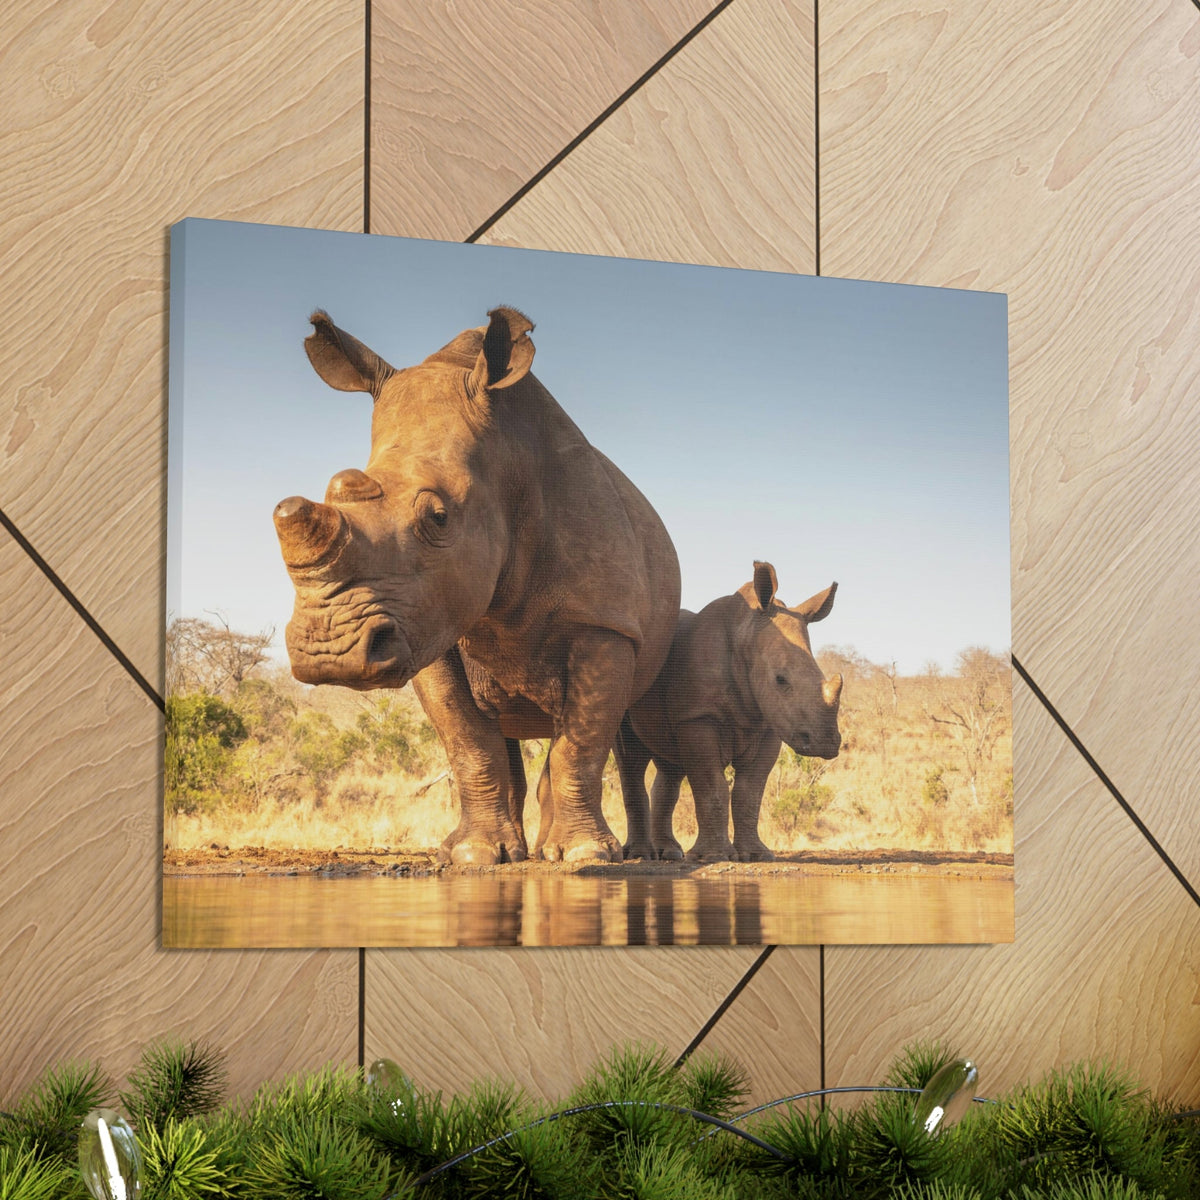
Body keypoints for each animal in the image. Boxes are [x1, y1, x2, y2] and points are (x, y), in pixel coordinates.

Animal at [273, 306, 681, 864]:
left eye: (438, 517)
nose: (328, 652)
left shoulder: (604, 623)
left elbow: (582, 741)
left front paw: (584, 856)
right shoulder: (427, 626)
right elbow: (467, 740)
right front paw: (473, 855)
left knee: (619, 738)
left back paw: (618, 854)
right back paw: (519, 851)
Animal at [617, 562, 842, 862]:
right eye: (780, 680)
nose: (826, 743)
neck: (744, 634)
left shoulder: (769, 724)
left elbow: (750, 792)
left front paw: (757, 855)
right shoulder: (698, 717)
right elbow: (712, 787)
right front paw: (713, 857)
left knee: (669, 765)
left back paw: (670, 853)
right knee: (630, 759)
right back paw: (641, 855)